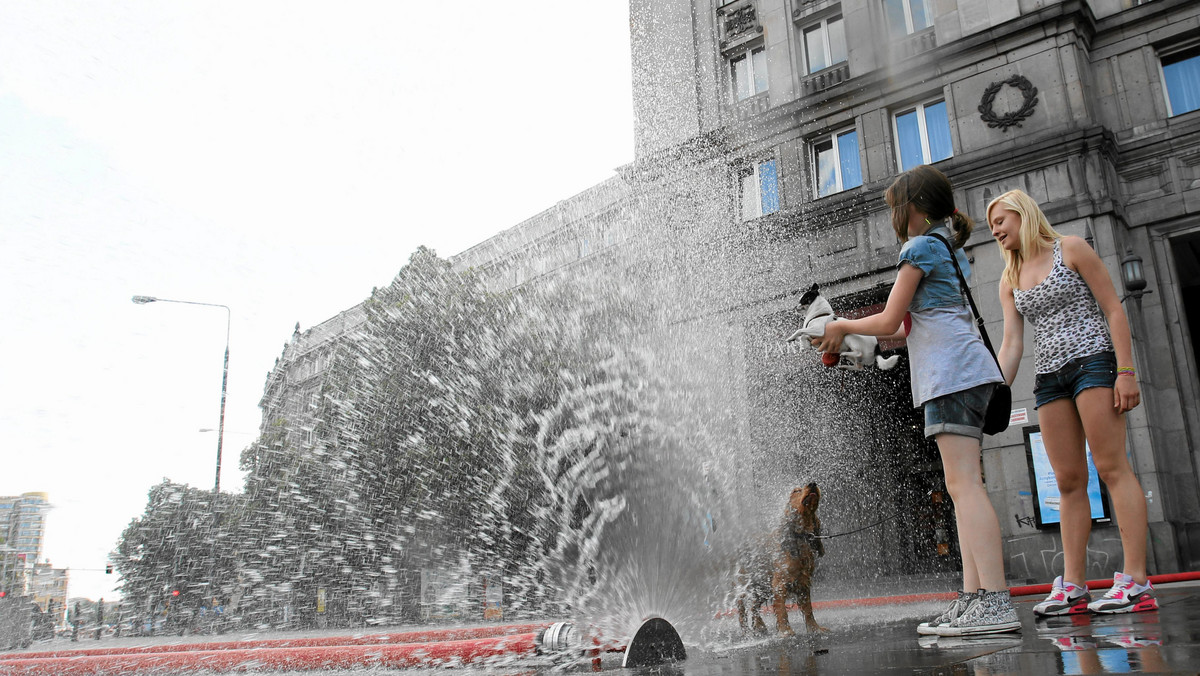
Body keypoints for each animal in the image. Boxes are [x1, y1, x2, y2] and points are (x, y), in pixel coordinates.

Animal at [729, 485, 825, 638]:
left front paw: (815, 629)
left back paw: (759, 627)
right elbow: (782, 611)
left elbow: (809, 610)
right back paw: (746, 632)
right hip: (745, 585)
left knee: (754, 606)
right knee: (742, 607)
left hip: (762, 586)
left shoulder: (803, 583)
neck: (799, 538)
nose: (812, 483)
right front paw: (786, 632)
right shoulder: (779, 584)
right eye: (796, 491)